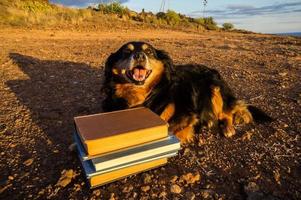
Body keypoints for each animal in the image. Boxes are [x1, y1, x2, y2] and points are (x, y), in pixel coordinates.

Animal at [101, 41, 272, 143]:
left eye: (149, 52)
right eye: (125, 52)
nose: (139, 56)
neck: (143, 95)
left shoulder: (185, 114)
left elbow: (170, 128)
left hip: (215, 88)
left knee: (227, 112)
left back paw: (227, 127)